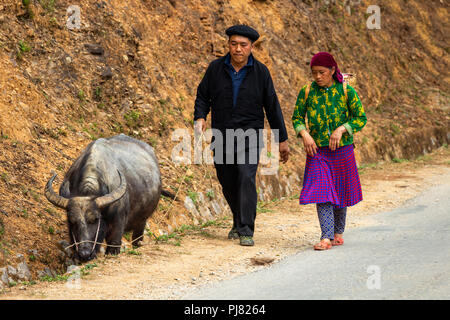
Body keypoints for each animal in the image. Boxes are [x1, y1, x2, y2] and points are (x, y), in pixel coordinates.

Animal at [44, 134, 172, 262]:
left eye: (95, 219)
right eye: (72, 221)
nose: (85, 254)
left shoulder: (118, 223)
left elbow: (113, 245)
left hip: (142, 221)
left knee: (137, 238)